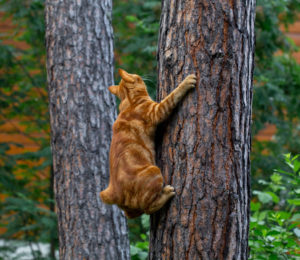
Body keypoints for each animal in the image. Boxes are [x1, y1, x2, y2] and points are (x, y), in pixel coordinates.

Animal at [100, 68, 197, 217]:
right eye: (137, 76)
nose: (142, 77)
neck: (130, 102)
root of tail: (113, 192)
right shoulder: (157, 110)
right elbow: (173, 95)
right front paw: (186, 82)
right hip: (154, 171)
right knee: (149, 208)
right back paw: (167, 193)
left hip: (130, 210)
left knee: (133, 214)